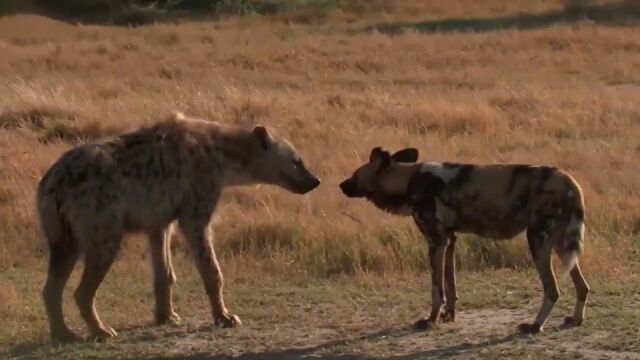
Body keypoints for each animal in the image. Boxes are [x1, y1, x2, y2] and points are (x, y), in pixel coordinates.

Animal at [36, 112, 320, 344]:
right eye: (296, 161)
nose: (315, 180)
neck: (224, 158)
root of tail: (53, 179)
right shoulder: (195, 212)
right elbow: (211, 269)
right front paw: (225, 318)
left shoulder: (159, 220)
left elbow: (164, 274)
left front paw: (166, 317)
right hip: (103, 230)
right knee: (82, 290)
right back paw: (101, 332)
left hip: (62, 234)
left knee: (51, 286)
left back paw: (63, 334)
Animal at [340, 146, 592, 334]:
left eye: (354, 175)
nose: (341, 184)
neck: (409, 179)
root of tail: (569, 180)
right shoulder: (449, 240)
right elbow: (450, 284)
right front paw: (448, 315)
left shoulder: (436, 241)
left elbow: (436, 289)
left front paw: (430, 320)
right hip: (561, 245)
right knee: (583, 286)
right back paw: (575, 319)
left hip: (538, 241)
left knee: (552, 290)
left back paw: (534, 326)